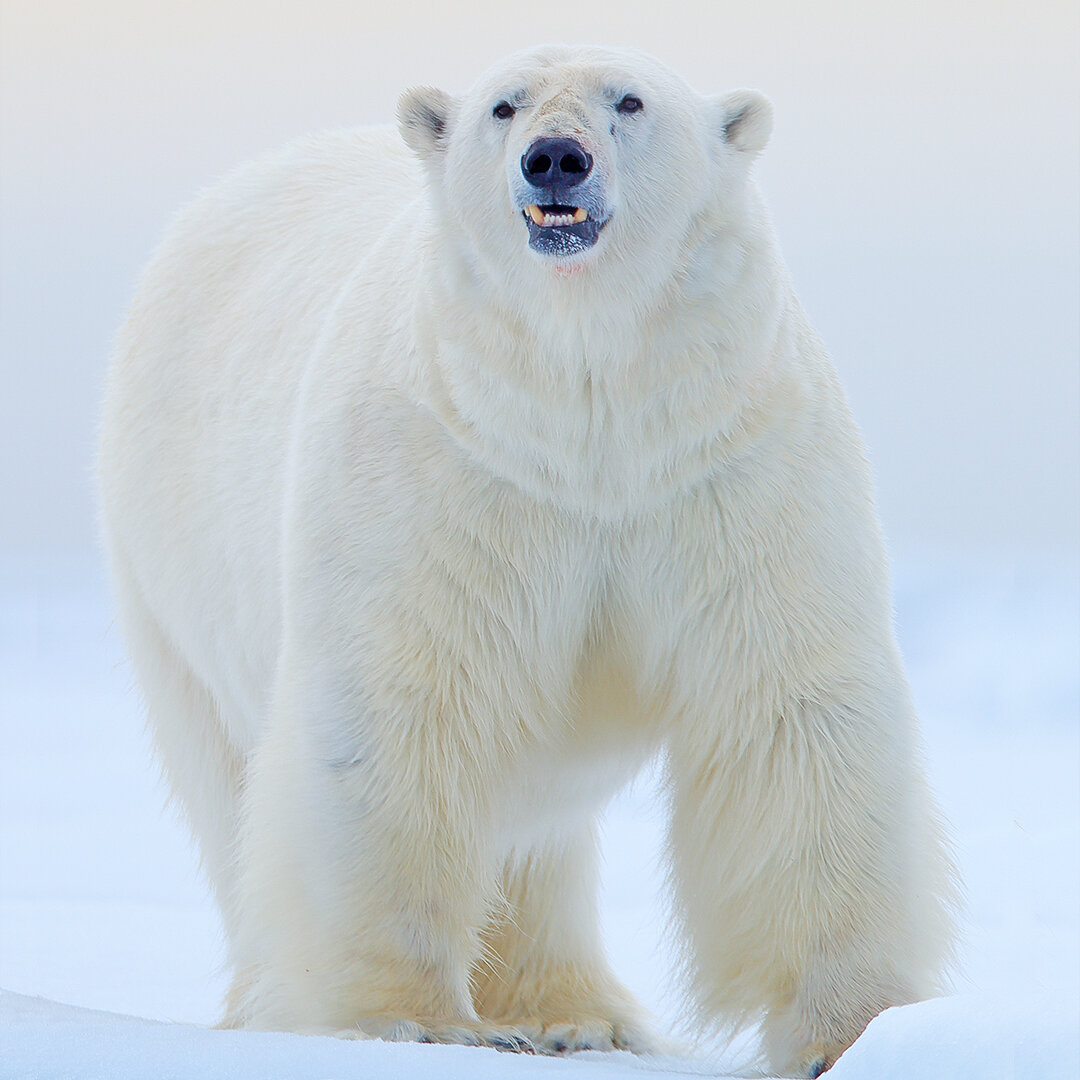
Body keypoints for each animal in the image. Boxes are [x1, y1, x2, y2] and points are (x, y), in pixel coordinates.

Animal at [99, 44, 954, 1080]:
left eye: (631, 99)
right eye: (504, 106)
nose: (556, 159)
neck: (589, 415)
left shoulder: (729, 462)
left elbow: (786, 709)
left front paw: (848, 1030)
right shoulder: (446, 467)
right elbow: (402, 706)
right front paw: (407, 1019)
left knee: (536, 829)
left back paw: (576, 1016)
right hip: (167, 580)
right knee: (234, 786)